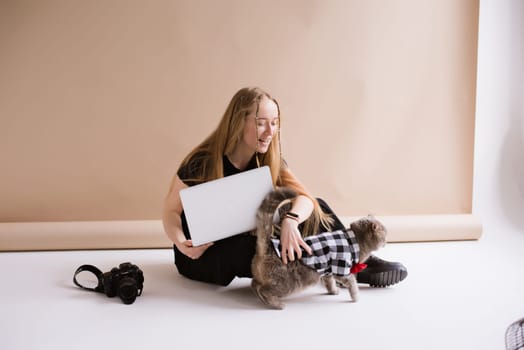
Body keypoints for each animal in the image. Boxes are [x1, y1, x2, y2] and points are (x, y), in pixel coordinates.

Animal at [252, 187, 386, 310]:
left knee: (255, 284)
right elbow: (352, 284)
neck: (356, 240)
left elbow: (329, 281)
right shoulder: (342, 269)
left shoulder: (328, 270)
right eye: (385, 233)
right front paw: (356, 297)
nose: (386, 241)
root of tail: (268, 246)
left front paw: (333, 291)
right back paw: (277, 304)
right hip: (288, 283)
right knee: (264, 290)